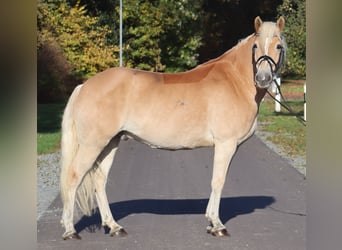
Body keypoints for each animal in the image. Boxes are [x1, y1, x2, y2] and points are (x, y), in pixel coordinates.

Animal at [59, 16, 286, 240]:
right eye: (255, 46)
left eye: (278, 46)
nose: (263, 78)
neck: (235, 82)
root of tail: (84, 86)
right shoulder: (225, 144)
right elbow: (218, 181)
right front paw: (217, 225)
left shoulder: (230, 146)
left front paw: (211, 222)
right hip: (92, 145)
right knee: (73, 178)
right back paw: (70, 230)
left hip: (110, 143)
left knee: (99, 181)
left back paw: (114, 226)